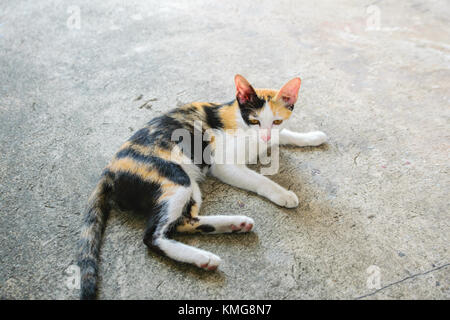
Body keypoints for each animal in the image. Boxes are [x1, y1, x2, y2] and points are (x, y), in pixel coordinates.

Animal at [77, 75, 326, 300]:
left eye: (276, 121)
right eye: (255, 121)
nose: (264, 137)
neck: (242, 123)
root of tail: (109, 170)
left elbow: (285, 135)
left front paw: (312, 137)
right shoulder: (224, 165)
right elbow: (260, 179)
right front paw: (283, 194)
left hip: (191, 183)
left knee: (182, 222)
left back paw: (234, 224)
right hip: (176, 178)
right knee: (153, 236)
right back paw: (203, 257)